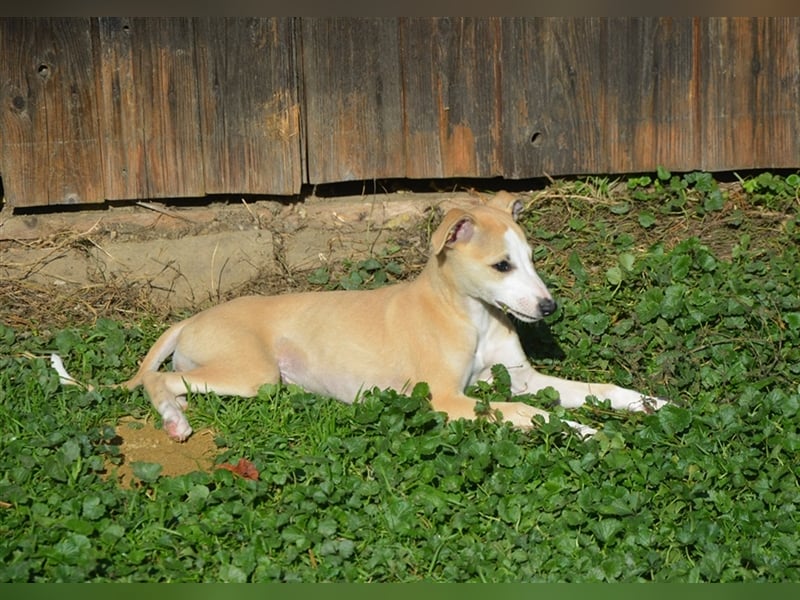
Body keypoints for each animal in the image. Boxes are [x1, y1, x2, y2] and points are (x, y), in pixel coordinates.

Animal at [51, 192, 668, 440]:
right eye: (501, 264)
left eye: (533, 258)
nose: (548, 307)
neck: (469, 314)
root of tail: (191, 319)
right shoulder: (447, 400)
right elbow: (525, 411)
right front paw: (583, 430)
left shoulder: (522, 376)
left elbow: (596, 388)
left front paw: (649, 404)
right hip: (251, 375)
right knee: (157, 381)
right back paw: (175, 422)